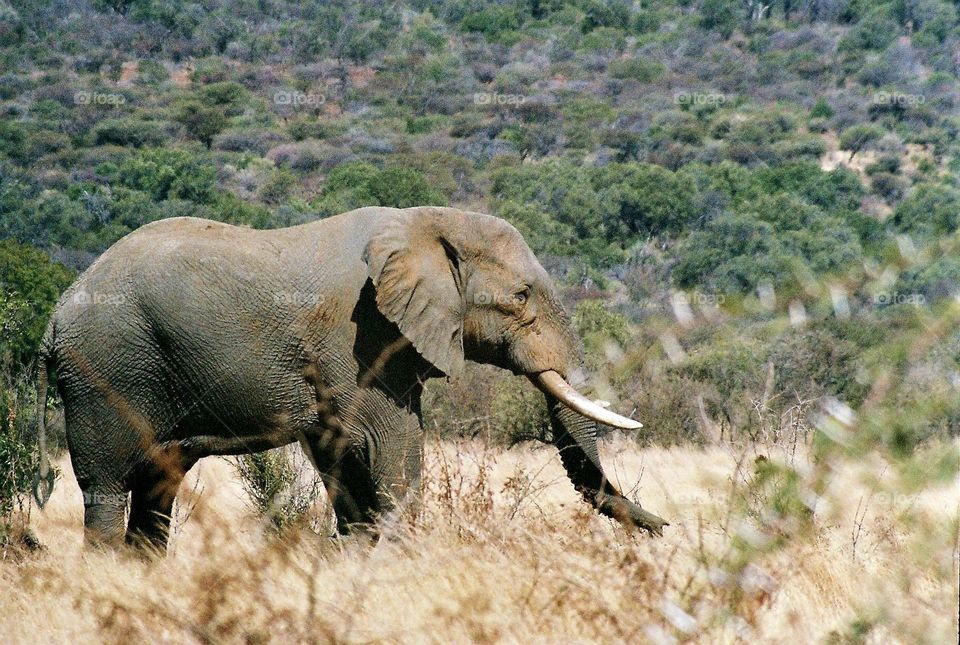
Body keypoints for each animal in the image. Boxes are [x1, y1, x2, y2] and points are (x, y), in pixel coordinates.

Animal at [35, 206, 667, 551]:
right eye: (520, 298)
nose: (668, 529)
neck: (423, 223)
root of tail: (55, 317)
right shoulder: (358, 340)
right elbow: (390, 442)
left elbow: (341, 455)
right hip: (104, 370)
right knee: (107, 485)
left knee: (157, 485)